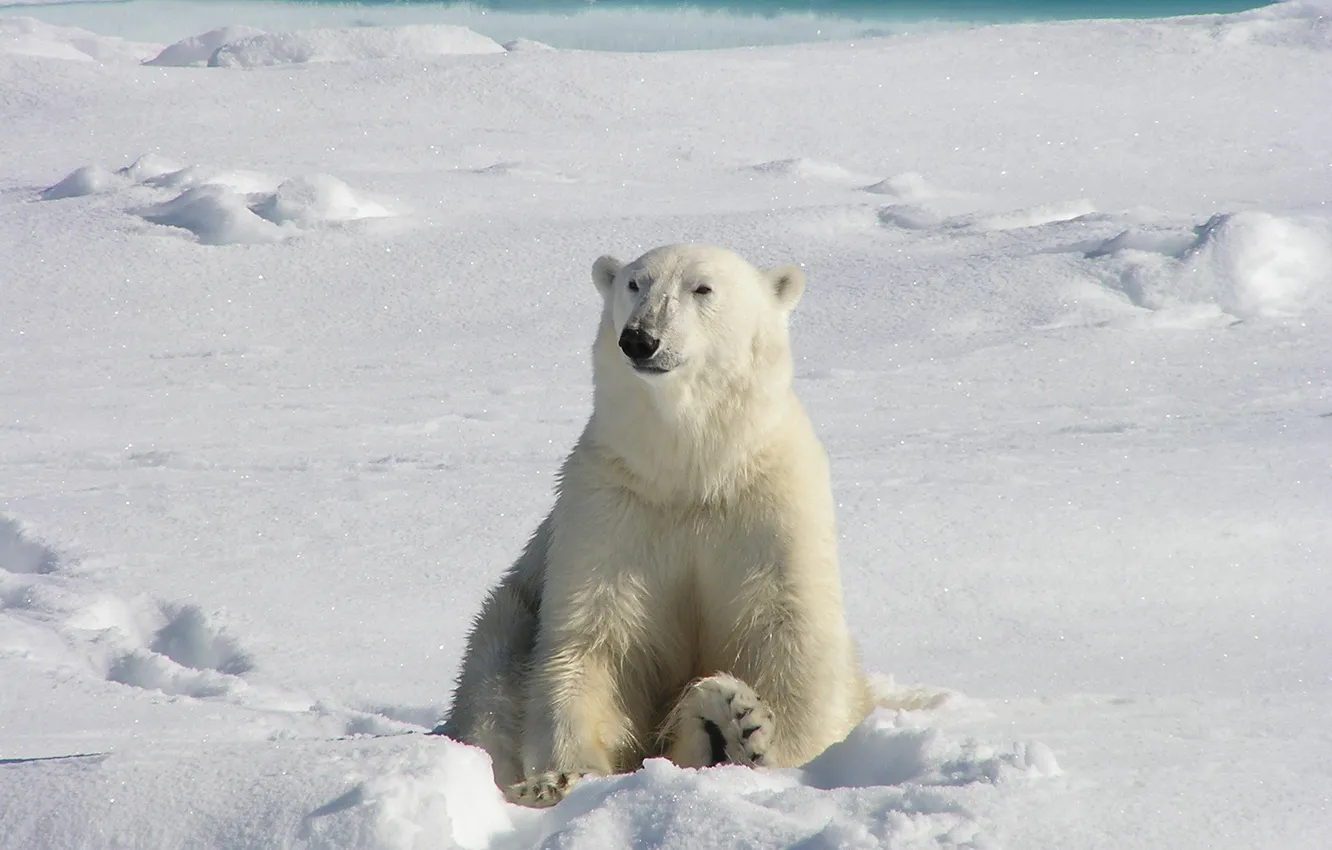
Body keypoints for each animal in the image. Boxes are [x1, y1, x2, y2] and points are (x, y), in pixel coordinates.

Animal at [433, 243, 875, 808]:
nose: (640, 339)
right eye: (634, 284)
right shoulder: (611, 508)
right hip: (507, 616)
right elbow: (593, 642)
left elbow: (789, 634)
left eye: (702, 288)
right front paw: (562, 776)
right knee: (493, 676)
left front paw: (779, 752)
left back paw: (731, 722)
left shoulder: (769, 506)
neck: (691, 472)